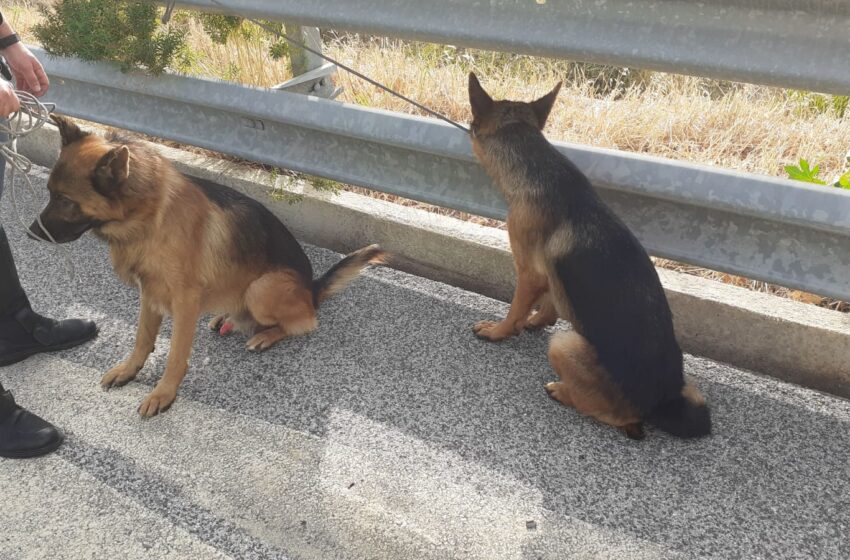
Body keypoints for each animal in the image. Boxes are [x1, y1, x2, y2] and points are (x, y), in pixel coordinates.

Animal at [32, 116, 384, 418]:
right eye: (49, 193)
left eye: (65, 200)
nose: (30, 233)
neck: (149, 218)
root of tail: (312, 289)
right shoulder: (150, 292)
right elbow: (142, 339)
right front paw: (129, 370)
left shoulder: (184, 302)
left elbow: (176, 355)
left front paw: (164, 394)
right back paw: (225, 316)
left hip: (262, 289)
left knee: (306, 322)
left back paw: (266, 335)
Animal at [464, 74, 708, 440]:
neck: (536, 163)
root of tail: (660, 404)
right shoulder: (552, 275)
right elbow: (550, 301)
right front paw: (537, 320)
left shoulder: (529, 272)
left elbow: (516, 307)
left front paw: (500, 330)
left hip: (565, 345)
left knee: (616, 416)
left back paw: (562, 391)